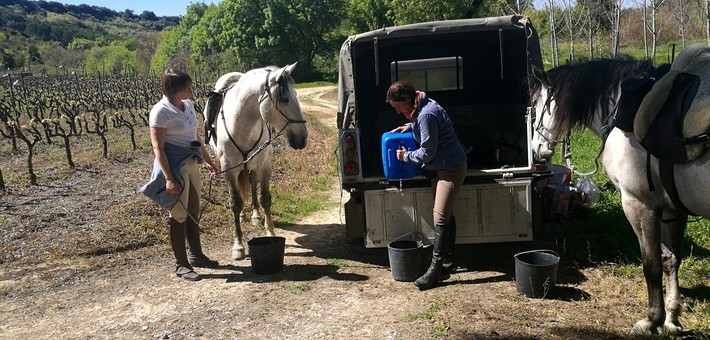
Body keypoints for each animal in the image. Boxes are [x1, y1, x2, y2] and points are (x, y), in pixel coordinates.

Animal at [204, 63, 308, 260]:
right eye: (284, 99)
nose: (303, 138)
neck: (241, 125)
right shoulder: (229, 168)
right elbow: (235, 202)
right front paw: (238, 246)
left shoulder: (265, 164)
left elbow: (265, 197)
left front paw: (270, 232)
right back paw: (243, 216)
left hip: (252, 166)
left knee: (252, 183)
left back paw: (255, 215)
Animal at [532, 45, 708, 334]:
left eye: (536, 107)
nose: (536, 150)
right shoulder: (673, 210)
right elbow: (671, 259)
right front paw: (671, 319)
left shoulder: (639, 204)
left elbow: (652, 264)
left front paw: (651, 320)